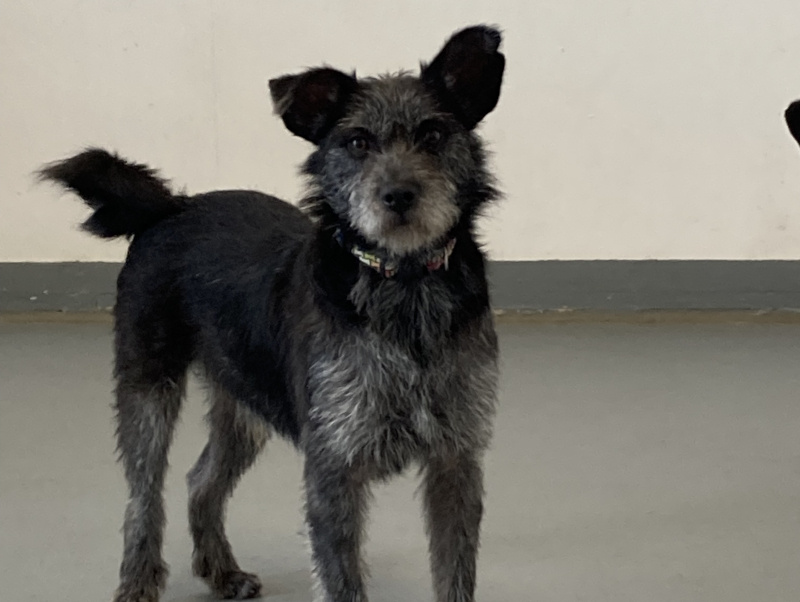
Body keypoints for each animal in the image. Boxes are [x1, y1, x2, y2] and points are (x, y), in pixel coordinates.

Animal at [40, 25, 504, 602]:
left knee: (200, 481)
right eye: (357, 142)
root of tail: (172, 207)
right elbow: (343, 581)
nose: (399, 196)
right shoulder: (334, 467)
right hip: (148, 388)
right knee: (143, 497)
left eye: (434, 135)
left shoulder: (455, 462)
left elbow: (455, 574)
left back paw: (222, 570)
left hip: (245, 402)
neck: (405, 284)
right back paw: (138, 581)